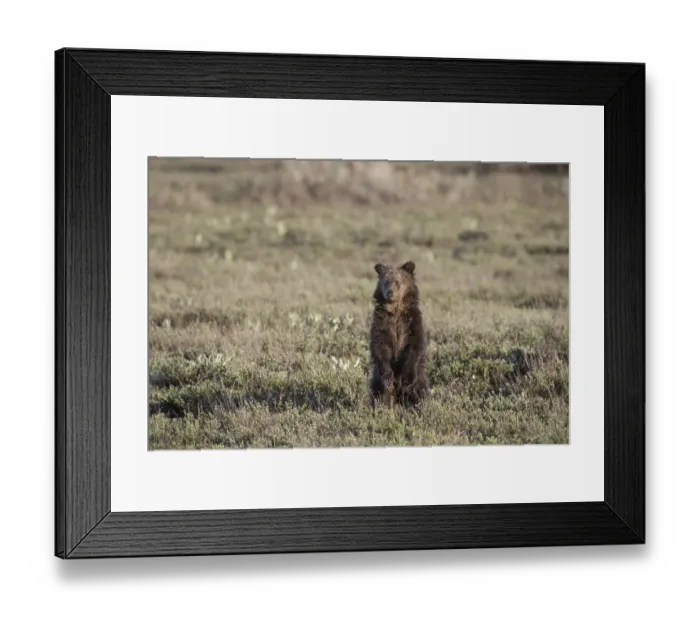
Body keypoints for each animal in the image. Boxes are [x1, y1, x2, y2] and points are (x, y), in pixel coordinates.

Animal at [368, 260, 430, 408]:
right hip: (376, 381)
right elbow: (380, 347)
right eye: (386, 281)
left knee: (419, 392)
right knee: (379, 394)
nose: (390, 292)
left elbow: (414, 347)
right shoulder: (382, 324)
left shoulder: (411, 324)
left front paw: (408, 379)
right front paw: (388, 378)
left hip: (420, 379)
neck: (395, 311)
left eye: (397, 281)